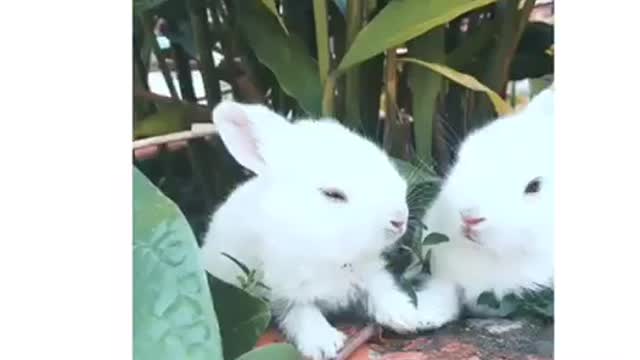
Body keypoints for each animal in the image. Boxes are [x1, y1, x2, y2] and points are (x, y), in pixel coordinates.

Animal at [200, 101, 436, 360]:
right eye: (333, 194)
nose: (399, 219)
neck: (329, 252)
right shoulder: (283, 293)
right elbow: (302, 313)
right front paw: (325, 344)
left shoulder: (368, 270)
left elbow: (380, 287)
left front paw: (405, 316)